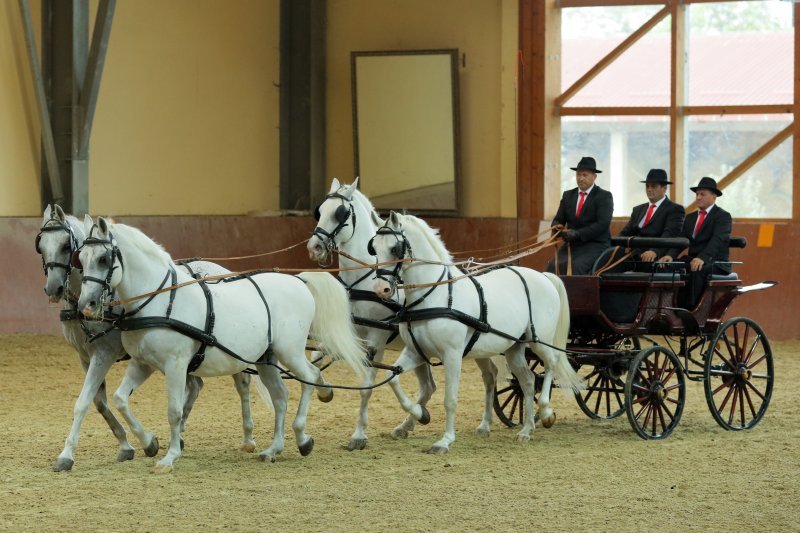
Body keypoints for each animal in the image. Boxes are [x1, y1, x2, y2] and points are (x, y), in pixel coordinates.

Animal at [36, 204, 260, 470]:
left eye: (66, 247)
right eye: (41, 246)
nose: (53, 289)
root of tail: (222, 270)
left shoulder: (104, 354)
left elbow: (84, 402)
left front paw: (70, 454)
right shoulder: (85, 357)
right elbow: (98, 403)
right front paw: (125, 445)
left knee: (242, 384)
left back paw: (247, 438)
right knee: (196, 385)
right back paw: (180, 433)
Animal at [75, 214, 368, 472]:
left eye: (103, 258)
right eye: (81, 259)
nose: (85, 305)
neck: (160, 300)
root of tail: (298, 280)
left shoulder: (175, 365)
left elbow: (174, 411)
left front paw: (169, 458)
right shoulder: (142, 364)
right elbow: (120, 399)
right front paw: (150, 443)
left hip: (291, 352)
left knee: (310, 376)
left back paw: (303, 437)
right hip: (266, 359)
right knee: (280, 396)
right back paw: (273, 449)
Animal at [306, 179, 438, 448]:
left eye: (340, 213)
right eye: (319, 210)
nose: (314, 247)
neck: (363, 282)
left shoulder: (376, 339)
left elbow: (367, 385)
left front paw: (358, 435)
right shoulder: (345, 331)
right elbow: (315, 358)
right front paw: (325, 391)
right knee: (428, 387)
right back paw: (409, 423)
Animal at [368, 210, 580, 450]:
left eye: (395, 248)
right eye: (374, 248)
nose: (381, 289)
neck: (436, 296)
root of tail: (543, 276)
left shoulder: (452, 355)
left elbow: (450, 399)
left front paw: (445, 440)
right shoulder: (416, 352)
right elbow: (392, 377)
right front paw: (421, 415)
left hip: (538, 340)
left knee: (551, 364)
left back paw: (546, 413)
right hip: (514, 347)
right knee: (527, 381)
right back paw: (526, 430)